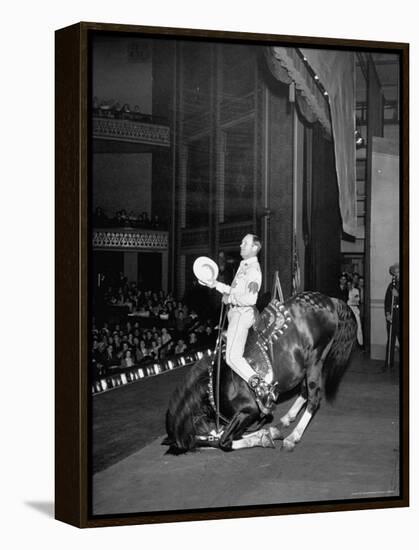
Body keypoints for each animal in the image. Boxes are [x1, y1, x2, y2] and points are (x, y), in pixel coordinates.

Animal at [164, 294, 358, 458]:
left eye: (185, 445)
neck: (216, 384)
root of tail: (330, 301)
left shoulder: (248, 411)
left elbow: (224, 441)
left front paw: (266, 436)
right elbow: (227, 437)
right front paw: (269, 432)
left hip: (316, 359)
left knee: (314, 397)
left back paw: (292, 437)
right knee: (305, 391)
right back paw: (287, 418)